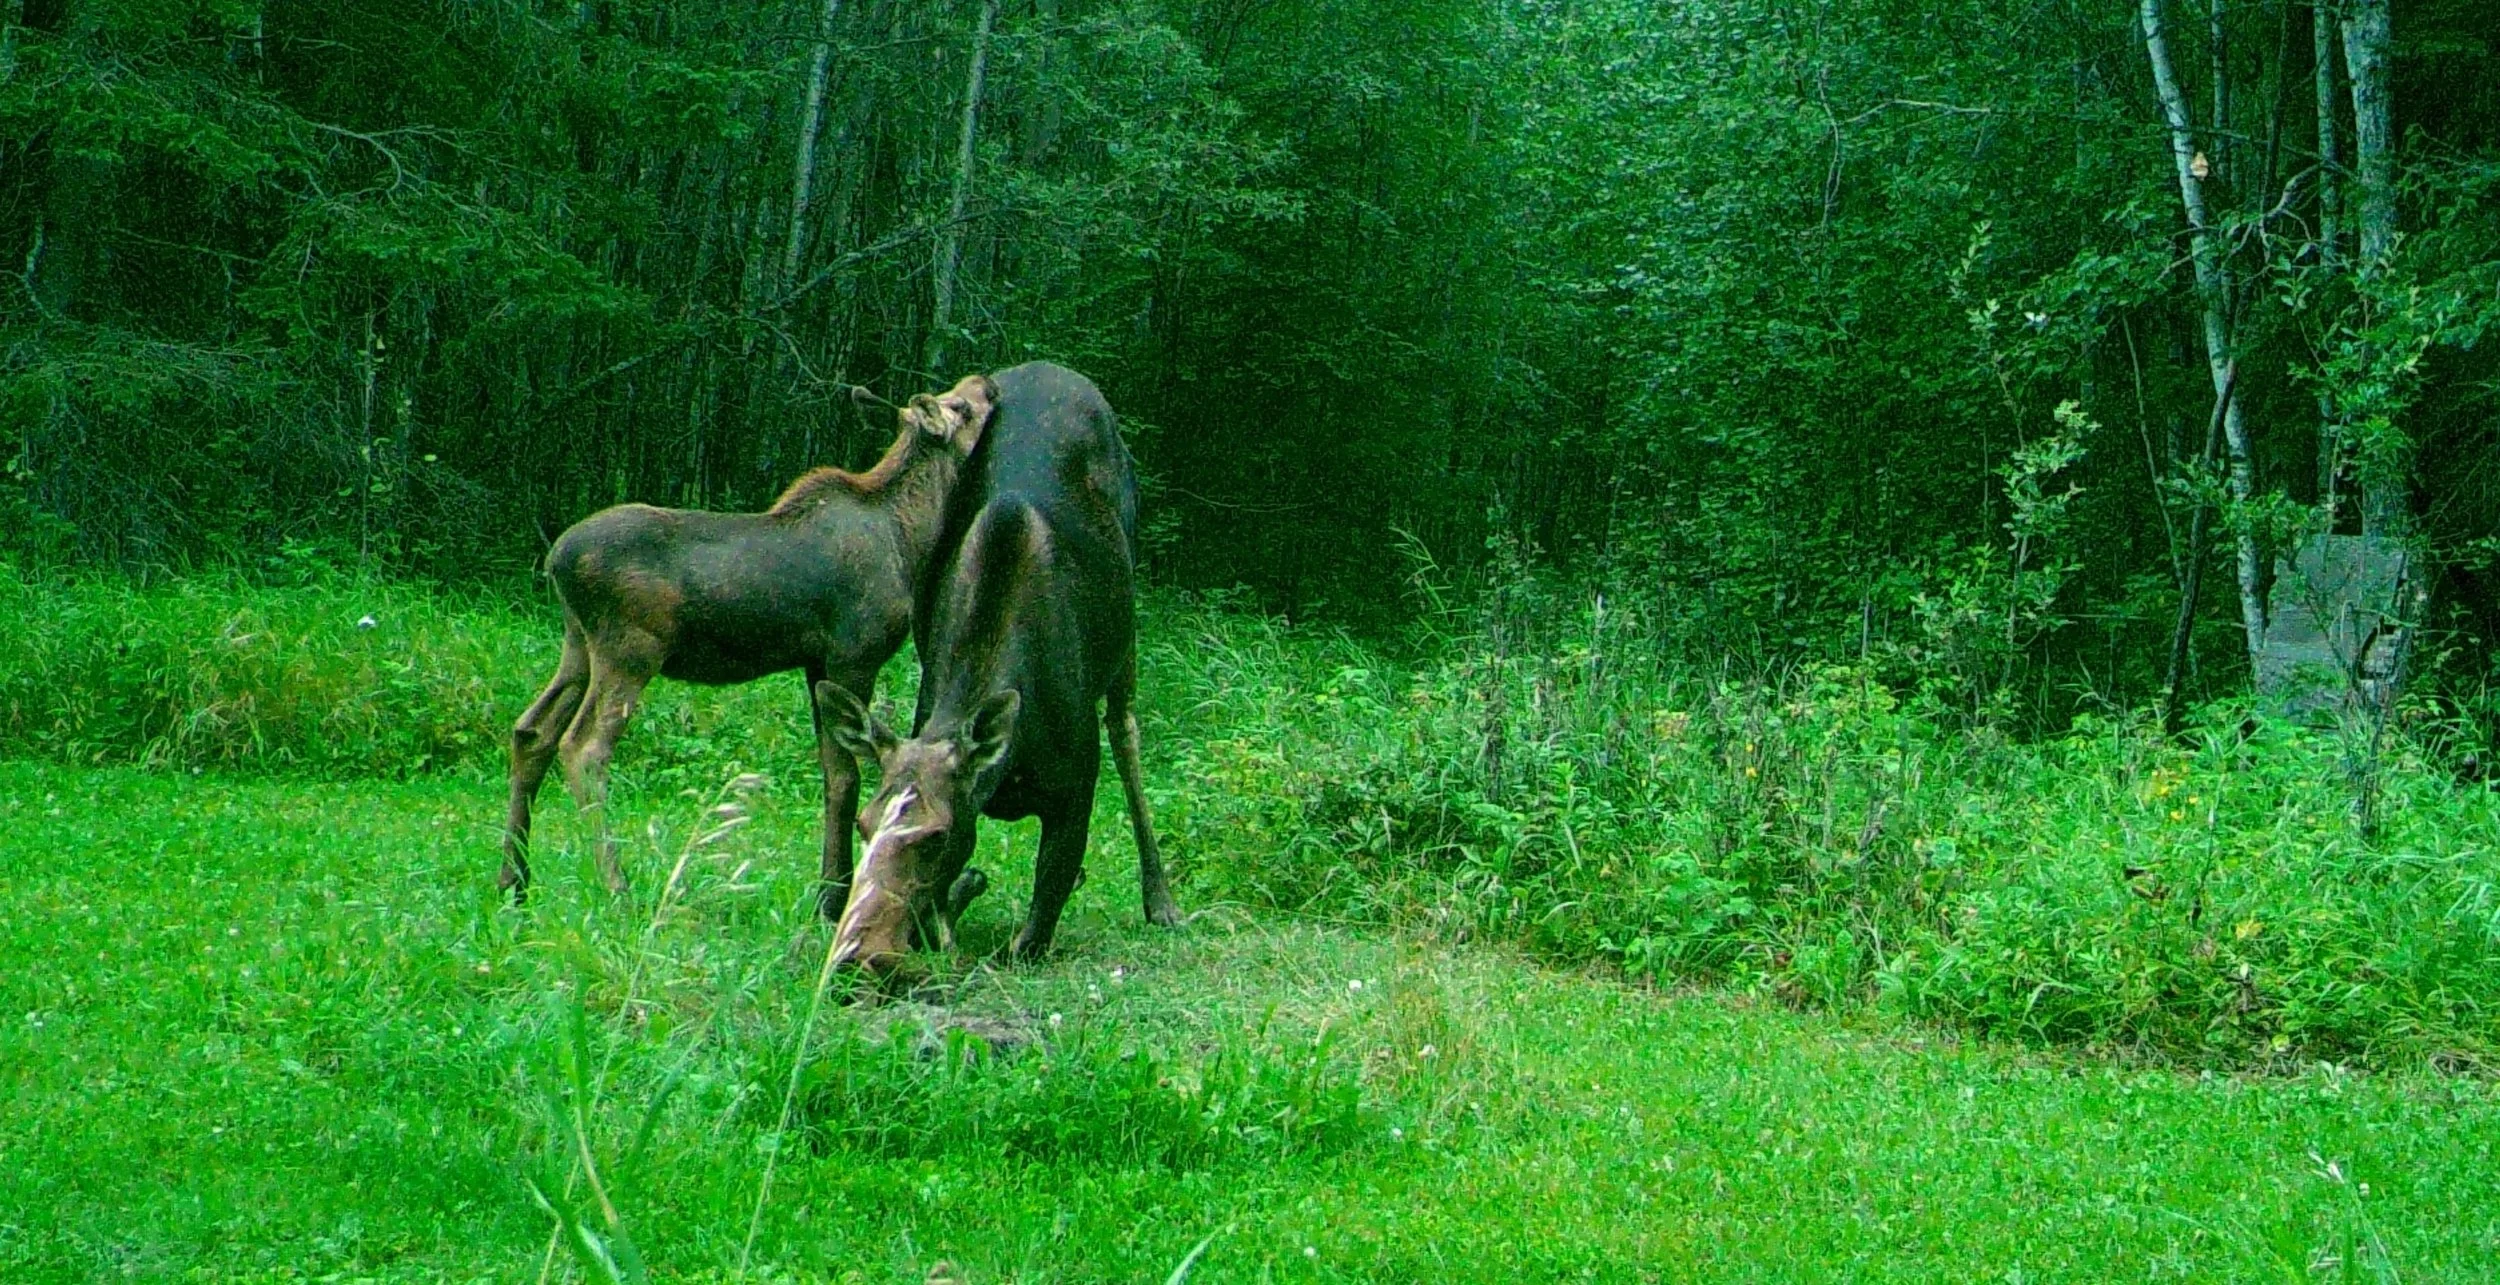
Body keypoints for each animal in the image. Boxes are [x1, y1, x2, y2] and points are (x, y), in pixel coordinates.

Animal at [499, 375, 998, 916]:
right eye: (960, 406)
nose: (987, 383)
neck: (911, 539)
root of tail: (555, 558)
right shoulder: (854, 654)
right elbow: (848, 776)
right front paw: (834, 895)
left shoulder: (815, 662)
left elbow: (831, 775)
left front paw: (828, 889)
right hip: (629, 650)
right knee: (584, 747)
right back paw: (617, 887)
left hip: (577, 646)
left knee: (532, 731)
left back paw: (513, 882)